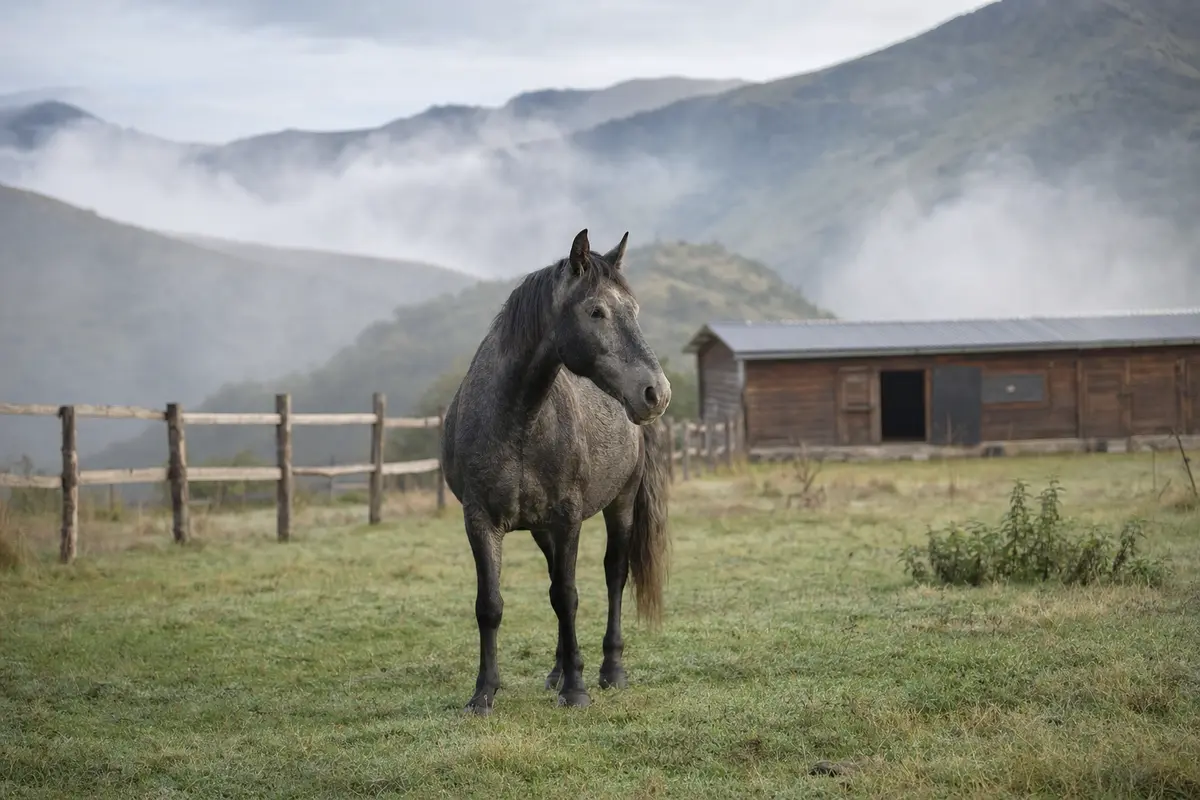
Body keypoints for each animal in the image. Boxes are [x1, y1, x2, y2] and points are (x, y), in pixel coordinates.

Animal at [440, 228, 673, 715]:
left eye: (634, 310)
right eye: (596, 311)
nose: (656, 393)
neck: (517, 419)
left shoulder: (568, 519)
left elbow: (569, 597)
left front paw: (577, 690)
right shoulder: (480, 520)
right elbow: (491, 604)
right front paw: (484, 694)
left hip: (620, 504)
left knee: (613, 576)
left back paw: (610, 670)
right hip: (540, 529)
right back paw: (557, 670)